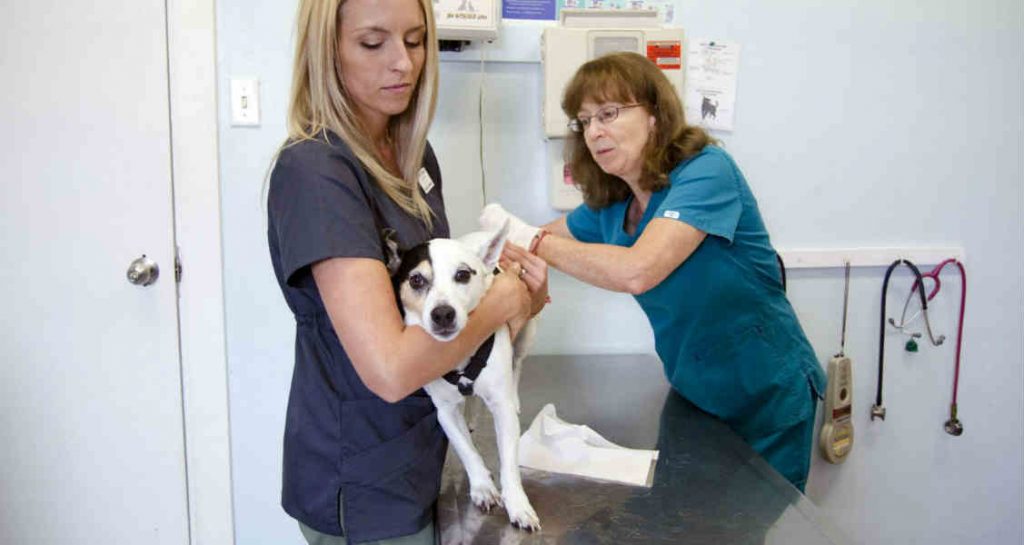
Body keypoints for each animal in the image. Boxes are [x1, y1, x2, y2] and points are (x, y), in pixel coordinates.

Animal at [385, 222, 544, 532]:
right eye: (416, 280)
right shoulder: (445, 412)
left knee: (517, 364)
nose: (442, 314)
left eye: (462, 275)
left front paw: (517, 504)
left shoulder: (501, 410)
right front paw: (482, 486)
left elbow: (509, 462)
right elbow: (466, 450)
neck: (460, 354)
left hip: (526, 333)